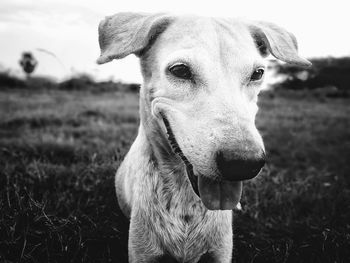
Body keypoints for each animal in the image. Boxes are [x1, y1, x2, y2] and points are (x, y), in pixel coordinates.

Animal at [95, 12, 308, 263]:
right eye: (179, 70)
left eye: (258, 73)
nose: (244, 164)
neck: (186, 198)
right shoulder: (143, 252)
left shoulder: (220, 252)